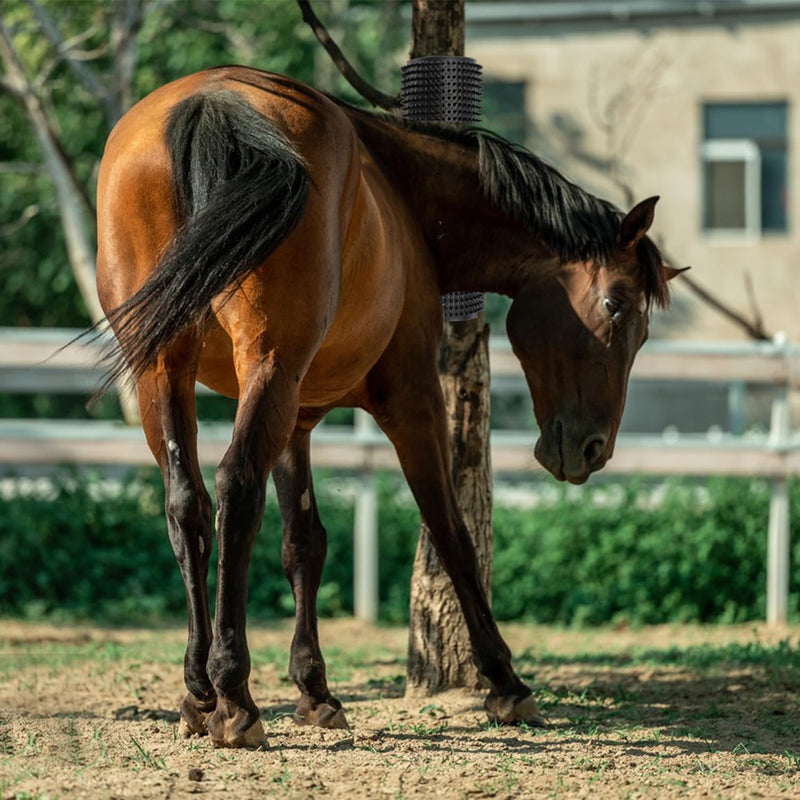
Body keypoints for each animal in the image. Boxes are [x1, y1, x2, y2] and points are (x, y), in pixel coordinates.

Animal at [96, 65, 679, 748]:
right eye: (617, 307)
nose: (591, 449)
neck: (401, 189)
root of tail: (213, 101)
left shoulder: (296, 416)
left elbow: (304, 542)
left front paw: (315, 690)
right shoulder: (413, 399)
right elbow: (452, 534)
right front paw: (505, 681)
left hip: (166, 369)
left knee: (187, 505)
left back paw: (197, 692)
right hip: (267, 366)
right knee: (236, 489)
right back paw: (234, 696)